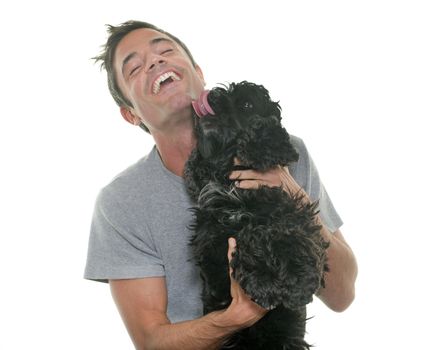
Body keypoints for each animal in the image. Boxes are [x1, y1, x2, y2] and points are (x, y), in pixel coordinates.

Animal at [185, 82, 332, 350]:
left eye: (247, 104)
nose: (212, 95)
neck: (230, 178)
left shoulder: (293, 212)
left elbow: (280, 235)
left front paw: (294, 284)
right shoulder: (211, 236)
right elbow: (246, 239)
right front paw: (265, 284)